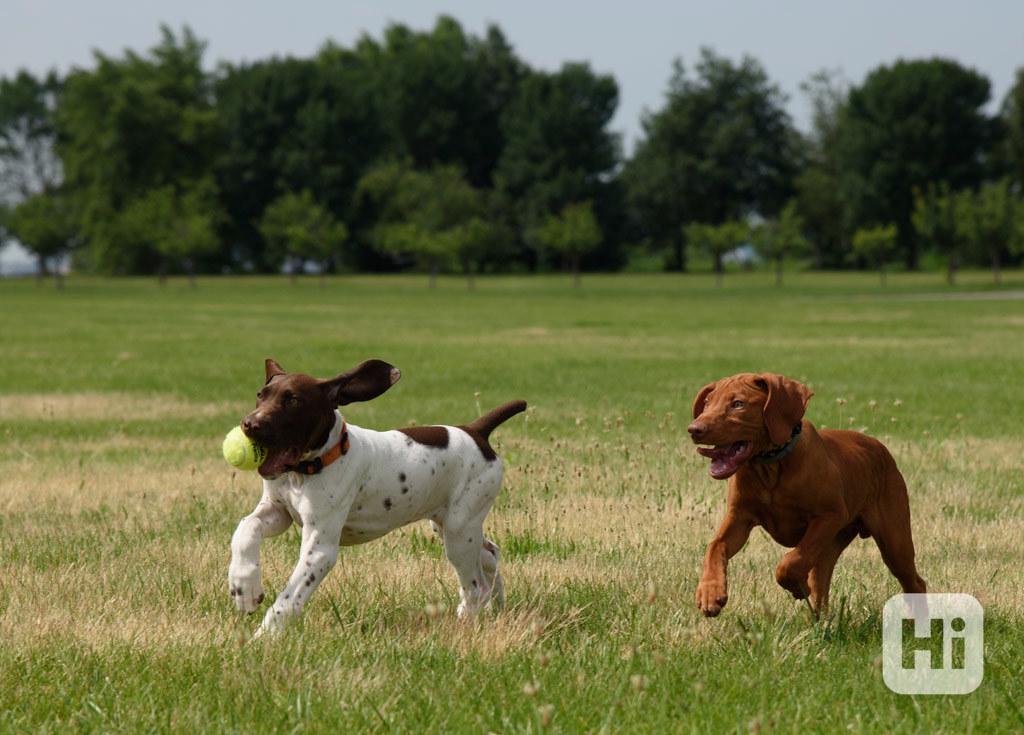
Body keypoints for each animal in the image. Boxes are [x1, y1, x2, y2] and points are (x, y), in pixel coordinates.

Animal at [227, 360, 524, 634]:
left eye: (293, 400)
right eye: (261, 395)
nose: (249, 424)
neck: (309, 468)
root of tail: (475, 431)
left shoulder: (319, 549)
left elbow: (288, 600)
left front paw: (263, 638)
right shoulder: (277, 512)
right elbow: (245, 528)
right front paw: (244, 585)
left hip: (459, 531)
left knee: (476, 587)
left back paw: (465, 619)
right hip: (450, 525)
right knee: (490, 553)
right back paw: (496, 605)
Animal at [688, 370, 929, 618]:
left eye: (738, 404)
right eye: (707, 403)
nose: (694, 429)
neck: (771, 465)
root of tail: (880, 447)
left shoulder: (830, 515)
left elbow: (789, 562)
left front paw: (796, 586)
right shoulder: (739, 520)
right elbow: (714, 547)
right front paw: (710, 593)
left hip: (893, 542)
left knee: (915, 582)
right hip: (833, 542)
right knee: (821, 579)